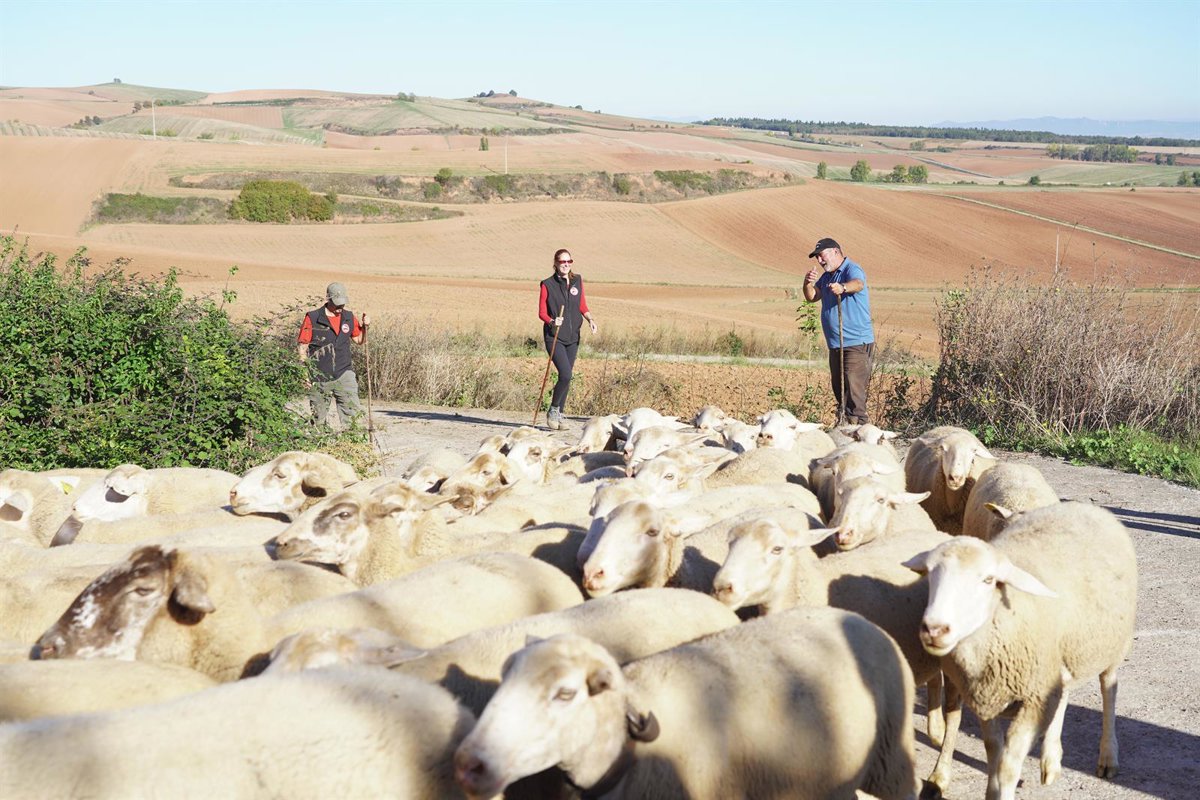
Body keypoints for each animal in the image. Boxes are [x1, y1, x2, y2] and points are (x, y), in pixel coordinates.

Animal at [903, 501, 1138, 799]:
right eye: (930, 574)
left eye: (988, 580)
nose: (934, 629)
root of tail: (1085, 506)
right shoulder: (990, 695)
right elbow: (993, 747)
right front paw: (992, 790)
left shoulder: (1033, 699)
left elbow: (1009, 764)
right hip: (1060, 654)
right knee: (1064, 693)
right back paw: (1051, 760)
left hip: (1112, 645)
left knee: (1109, 689)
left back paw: (1107, 757)